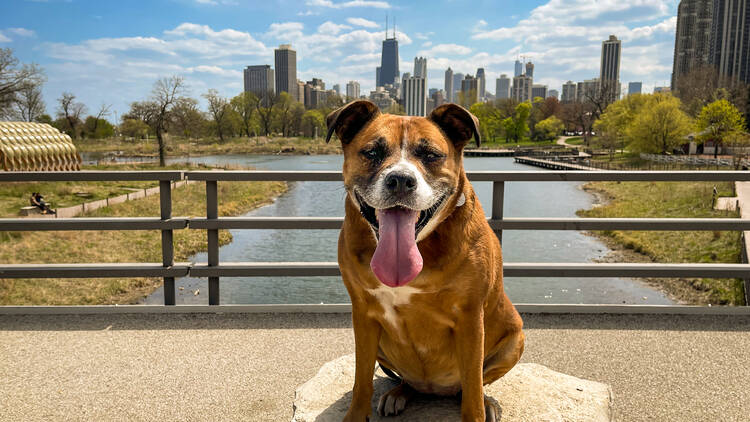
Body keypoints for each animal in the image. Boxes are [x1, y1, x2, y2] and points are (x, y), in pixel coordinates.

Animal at [326, 100, 524, 420]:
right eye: (372, 152)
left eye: (431, 155)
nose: (400, 180)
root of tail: (436, 390)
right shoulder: (363, 315)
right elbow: (361, 378)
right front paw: (356, 413)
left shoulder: (471, 320)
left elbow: (472, 390)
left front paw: (478, 409)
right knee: (408, 382)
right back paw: (399, 393)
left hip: (515, 338)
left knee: (474, 384)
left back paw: (487, 402)